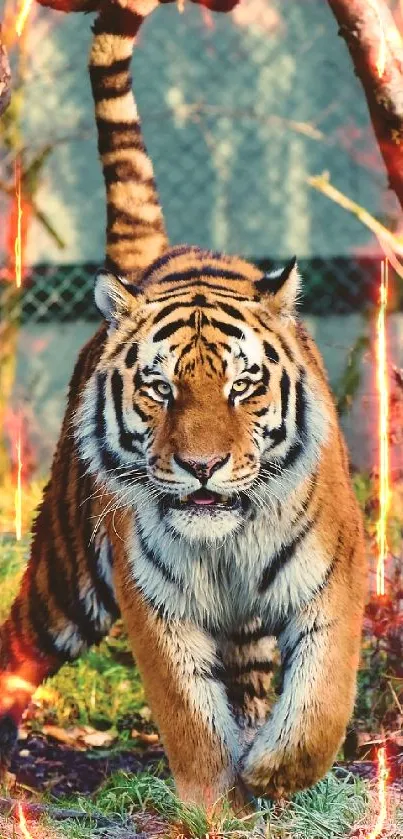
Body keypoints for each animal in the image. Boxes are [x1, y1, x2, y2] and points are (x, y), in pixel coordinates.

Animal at [0, 0, 366, 812]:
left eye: (242, 385)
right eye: (160, 388)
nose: (201, 467)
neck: (225, 544)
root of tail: (158, 259)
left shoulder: (332, 580)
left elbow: (321, 700)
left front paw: (273, 772)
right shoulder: (155, 604)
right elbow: (188, 715)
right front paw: (211, 803)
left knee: (256, 679)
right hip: (70, 572)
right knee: (19, 643)